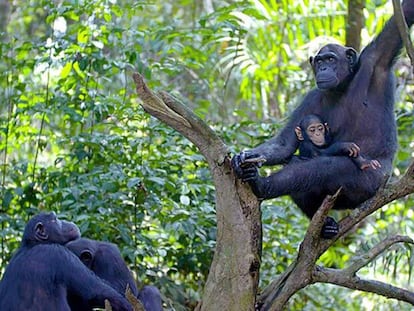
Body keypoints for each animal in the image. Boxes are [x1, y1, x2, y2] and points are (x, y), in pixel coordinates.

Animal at [233, 0, 414, 239]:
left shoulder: (377, 58)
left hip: (371, 182)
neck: (343, 85)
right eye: (319, 62)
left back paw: (261, 185)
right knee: (297, 163)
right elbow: (285, 144)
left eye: (330, 59)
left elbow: (401, 20)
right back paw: (325, 224)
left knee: (326, 168)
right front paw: (244, 156)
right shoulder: (310, 99)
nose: (324, 68)